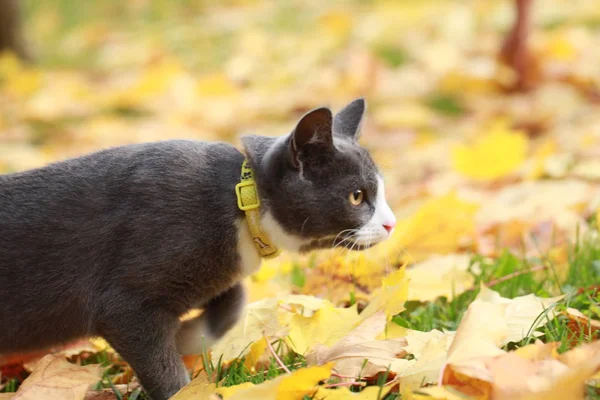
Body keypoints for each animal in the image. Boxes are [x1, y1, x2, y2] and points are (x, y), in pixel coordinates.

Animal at [0, 97, 396, 400]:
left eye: (380, 191)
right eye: (357, 196)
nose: (391, 223)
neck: (241, 202)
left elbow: (234, 298)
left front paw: (187, 336)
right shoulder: (126, 297)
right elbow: (148, 345)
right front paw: (180, 374)